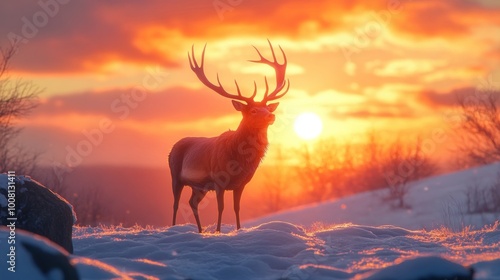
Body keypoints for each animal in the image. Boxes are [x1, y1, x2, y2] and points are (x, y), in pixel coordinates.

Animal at [171, 39, 292, 232]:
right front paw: (218, 231)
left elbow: (237, 208)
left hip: (199, 186)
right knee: (175, 204)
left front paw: (238, 229)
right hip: (175, 174)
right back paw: (174, 228)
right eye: (253, 110)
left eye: (267, 108)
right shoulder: (218, 180)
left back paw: (200, 230)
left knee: (192, 202)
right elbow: (221, 208)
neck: (239, 161)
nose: (271, 116)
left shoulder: (241, 184)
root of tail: (174, 145)